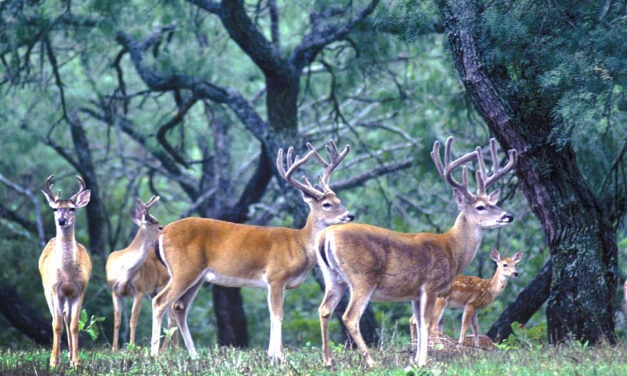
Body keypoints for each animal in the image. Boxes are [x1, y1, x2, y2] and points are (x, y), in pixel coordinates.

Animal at [38, 176, 92, 368]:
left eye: (72, 208)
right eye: (55, 208)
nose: (61, 220)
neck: (67, 273)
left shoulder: (79, 290)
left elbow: (75, 325)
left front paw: (76, 361)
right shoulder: (56, 290)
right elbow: (57, 325)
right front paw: (53, 361)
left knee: (68, 319)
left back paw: (69, 355)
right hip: (47, 290)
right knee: (56, 319)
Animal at [106, 197, 179, 352]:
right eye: (160, 227)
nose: (167, 231)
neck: (124, 271)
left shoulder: (139, 290)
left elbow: (133, 320)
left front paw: (131, 348)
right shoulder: (114, 291)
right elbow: (117, 321)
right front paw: (114, 349)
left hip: (164, 285)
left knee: (171, 318)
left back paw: (164, 351)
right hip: (154, 291)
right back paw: (175, 350)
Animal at [150, 140, 356, 362]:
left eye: (339, 200)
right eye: (327, 204)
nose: (350, 215)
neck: (298, 243)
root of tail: (163, 233)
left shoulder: (273, 283)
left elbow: (272, 315)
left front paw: (272, 354)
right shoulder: (276, 277)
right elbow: (277, 314)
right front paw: (278, 356)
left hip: (197, 276)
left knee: (179, 307)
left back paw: (194, 355)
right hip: (184, 269)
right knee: (160, 301)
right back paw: (154, 354)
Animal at [316, 136, 516, 368]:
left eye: (493, 202)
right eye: (481, 207)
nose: (508, 216)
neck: (452, 249)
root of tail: (325, 236)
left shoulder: (414, 292)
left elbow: (419, 322)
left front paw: (416, 360)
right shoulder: (430, 285)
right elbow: (427, 323)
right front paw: (423, 361)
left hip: (332, 277)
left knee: (325, 309)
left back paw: (327, 361)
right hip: (362, 277)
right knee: (350, 317)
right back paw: (372, 362)